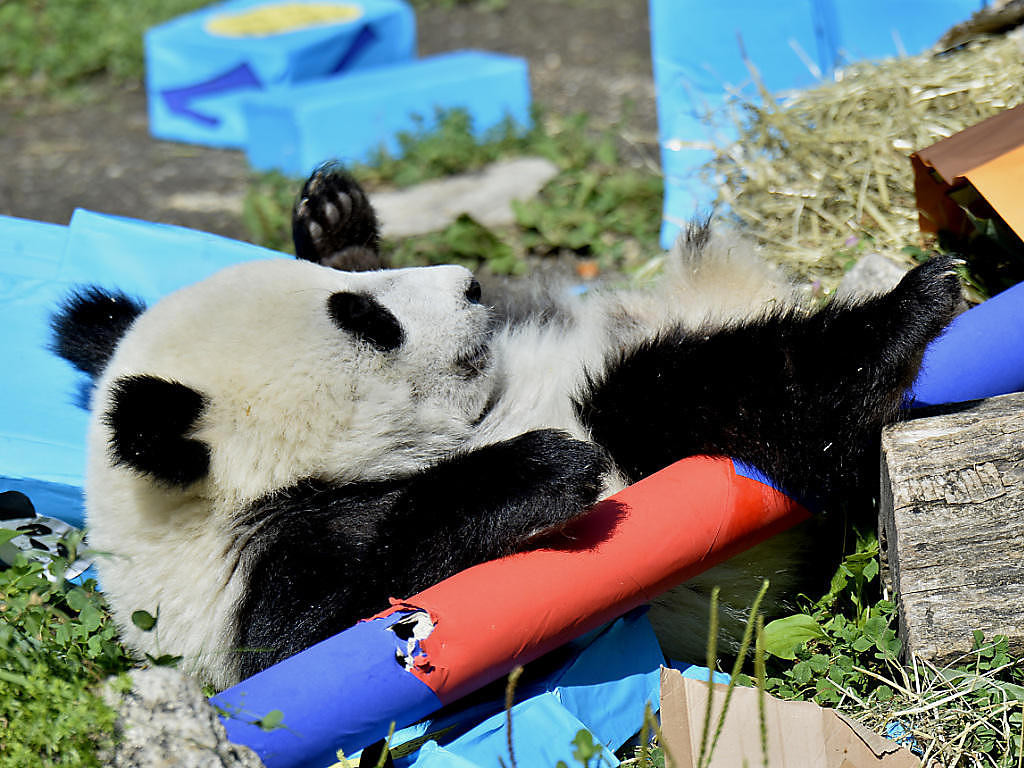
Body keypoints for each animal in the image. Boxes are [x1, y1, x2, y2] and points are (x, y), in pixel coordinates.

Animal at [49, 165, 958, 688]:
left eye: (353, 292)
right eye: (370, 322)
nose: (470, 284)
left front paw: (332, 218)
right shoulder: (268, 585)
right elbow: (361, 612)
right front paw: (538, 470)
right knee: (710, 392)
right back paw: (897, 318)